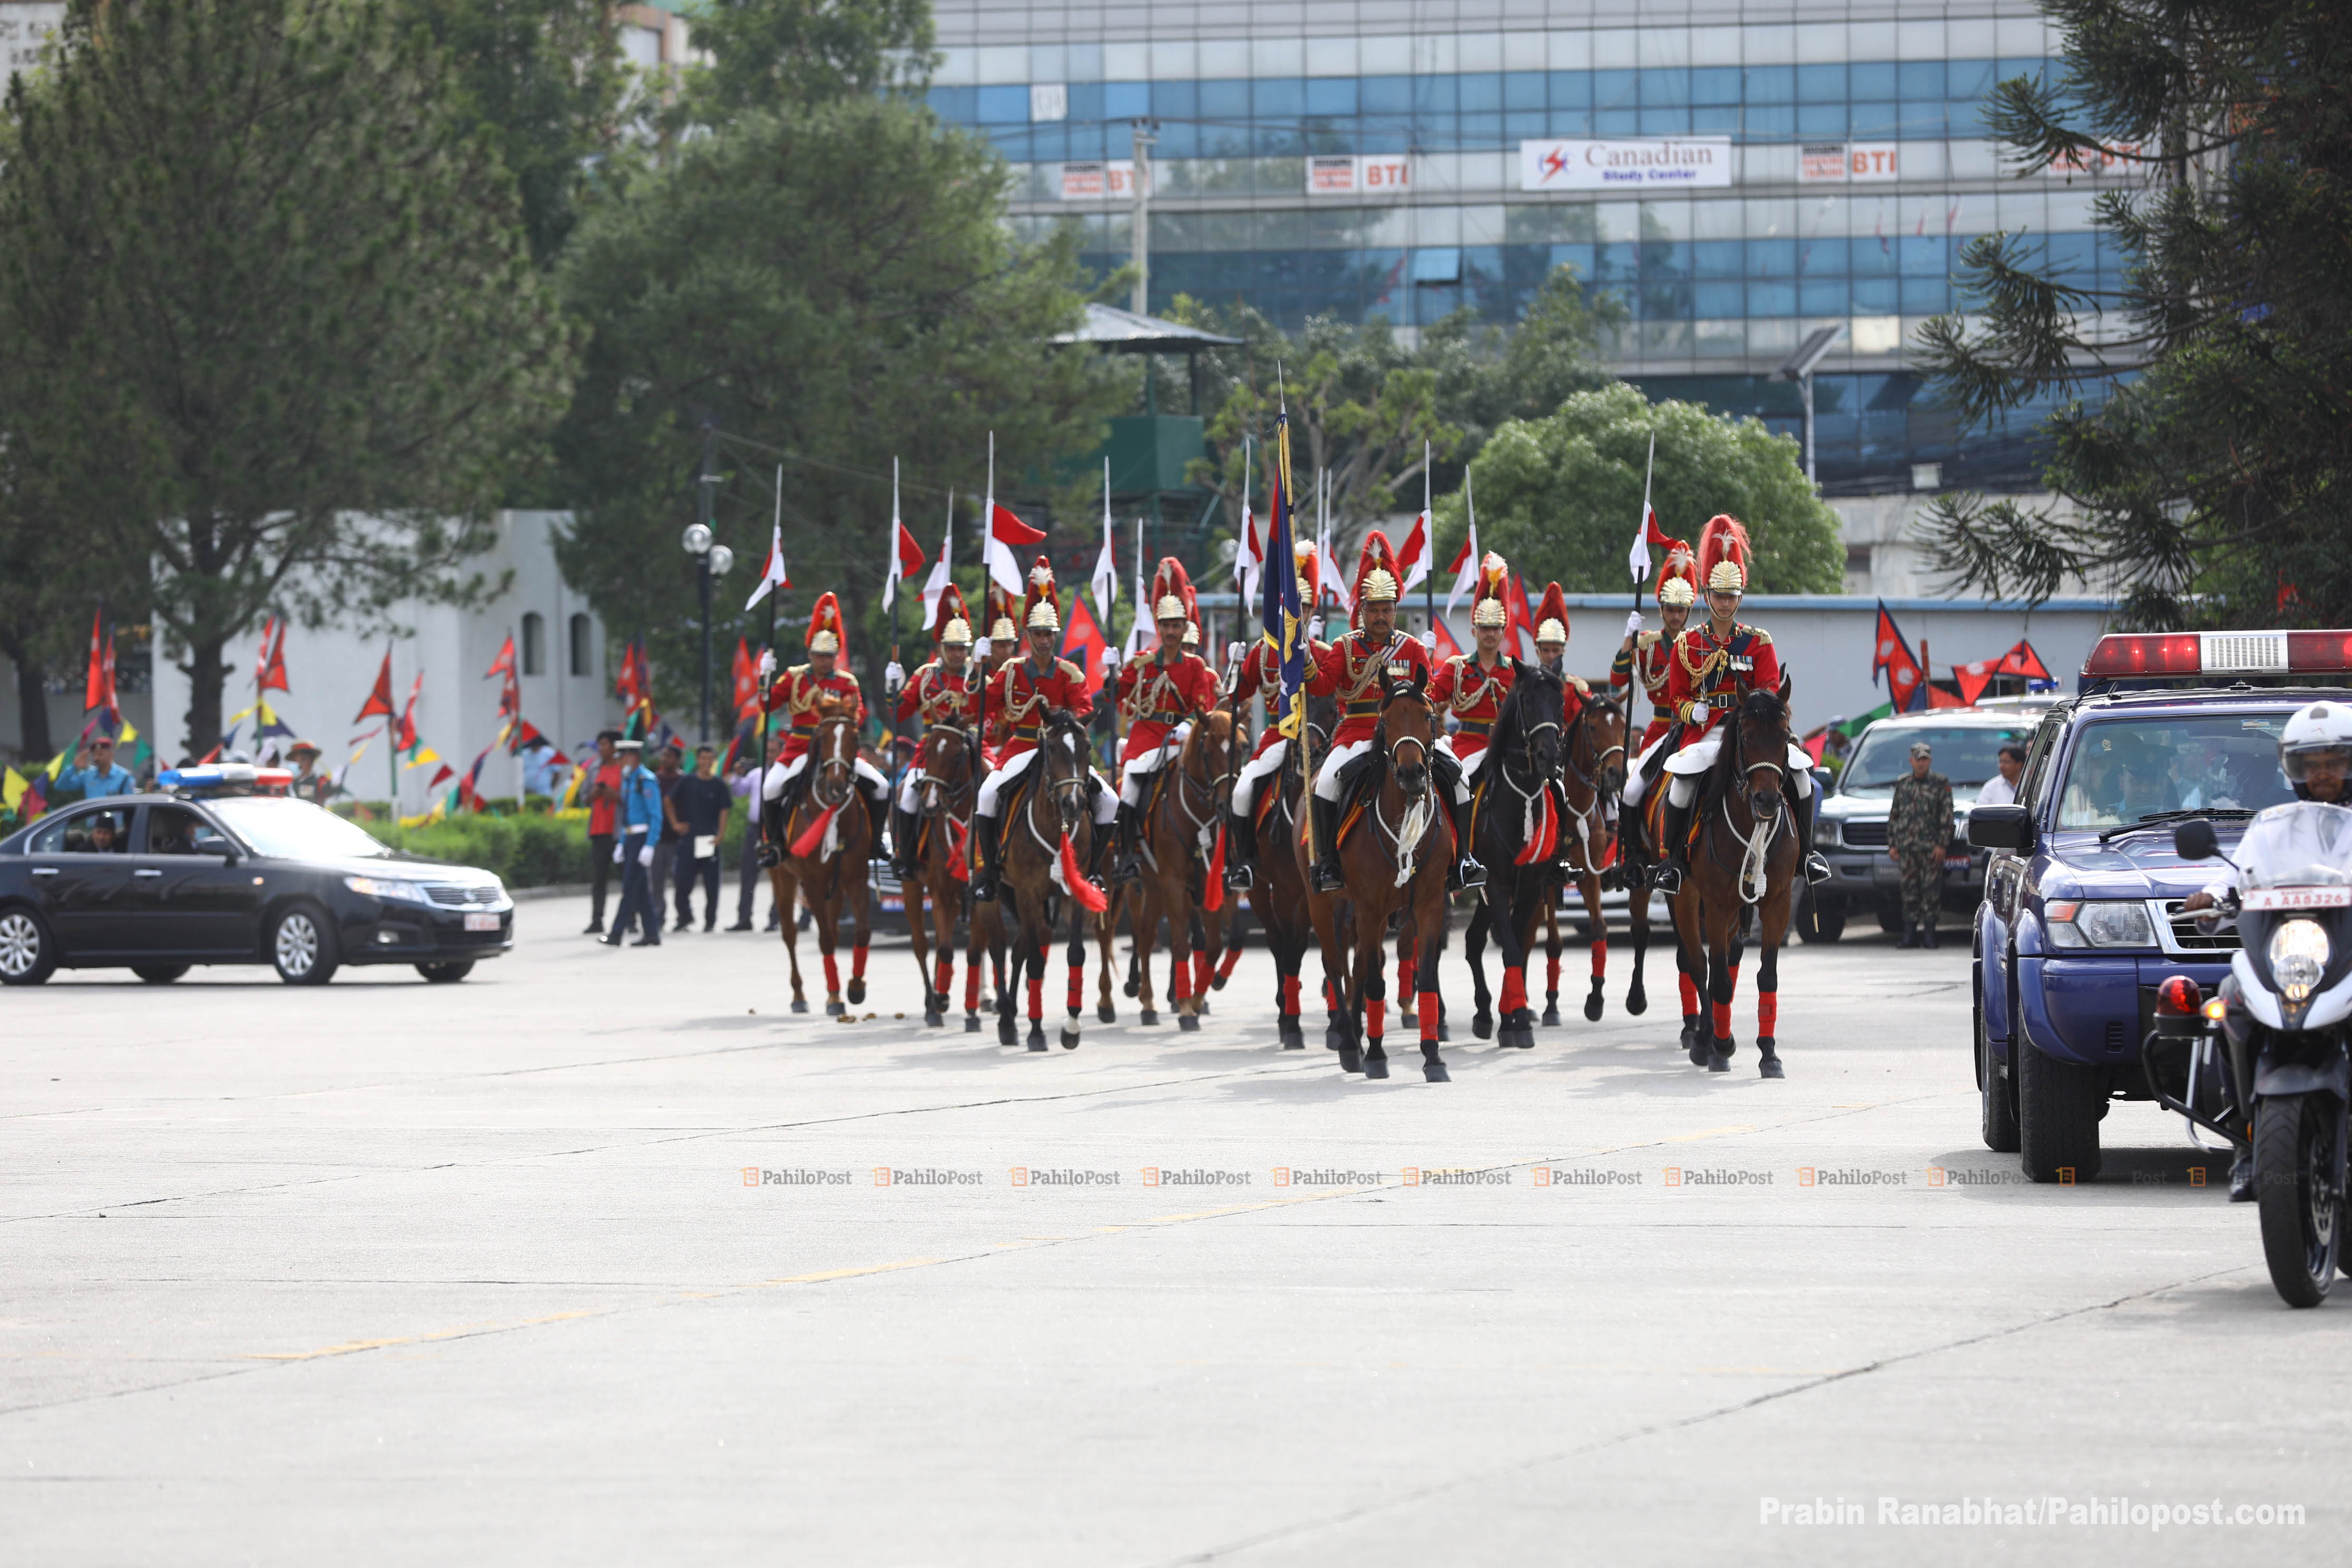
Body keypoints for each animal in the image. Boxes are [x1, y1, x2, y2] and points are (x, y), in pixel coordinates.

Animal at [767, 710, 879, 1020]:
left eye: (854, 738)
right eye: (824, 738)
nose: (837, 785)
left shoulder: (856, 878)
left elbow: (862, 932)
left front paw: (855, 987)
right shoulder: (812, 883)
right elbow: (826, 939)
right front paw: (837, 999)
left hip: (836, 887)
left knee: (835, 927)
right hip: (782, 879)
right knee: (790, 934)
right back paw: (799, 996)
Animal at [1124, 710, 1241, 1030]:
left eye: (1242, 748)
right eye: (1208, 753)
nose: (1227, 806)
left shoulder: (1211, 882)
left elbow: (1213, 945)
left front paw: (1199, 998)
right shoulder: (1174, 883)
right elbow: (1180, 945)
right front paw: (1188, 1008)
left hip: (1155, 889)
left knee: (1147, 935)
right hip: (1144, 886)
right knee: (1145, 936)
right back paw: (1147, 1000)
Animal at [1307, 668, 1448, 1086]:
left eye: (1427, 716)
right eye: (1385, 722)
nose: (1412, 773)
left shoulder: (1429, 904)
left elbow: (1426, 977)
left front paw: (1433, 1057)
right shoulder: (1369, 909)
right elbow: (1373, 980)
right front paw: (1374, 1056)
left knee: (1355, 967)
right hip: (1323, 902)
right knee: (1336, 965)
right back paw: (1348, 1042)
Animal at [1674, 681, 1797, 1081]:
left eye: (1785, 736)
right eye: (1745, 736)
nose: (1768, 800)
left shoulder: (1778, 903)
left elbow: (1767, 977)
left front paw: (1769, 1054)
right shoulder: (1714, 905)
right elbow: (1719, 981)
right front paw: (1721, 1046)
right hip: (1686, 899)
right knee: (1699, 965)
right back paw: (1705, 1040)